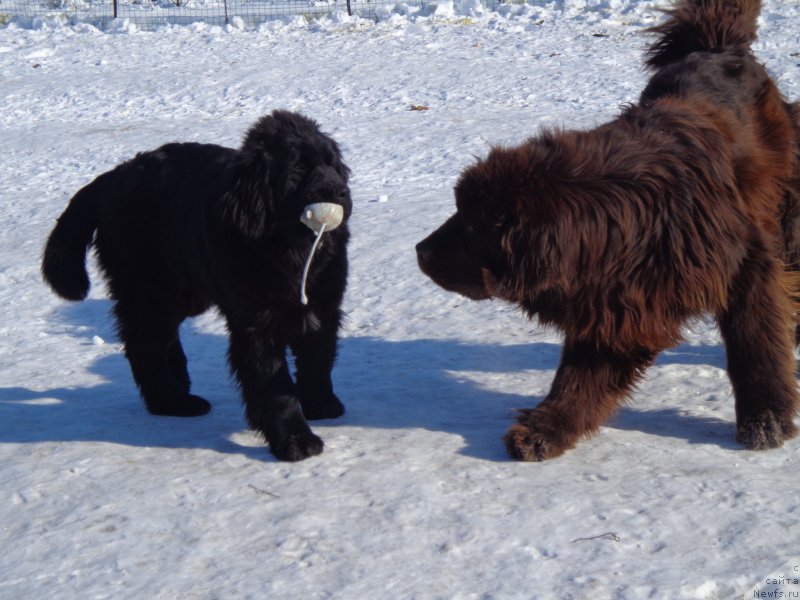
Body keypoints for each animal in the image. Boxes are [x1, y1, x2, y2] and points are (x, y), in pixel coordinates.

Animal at [42, 110, 352, 462]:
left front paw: (321, 404)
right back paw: (171, 401)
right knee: (143, 345)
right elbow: (275, 387)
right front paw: (295, 440)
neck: (289, 249)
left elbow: (318, 360)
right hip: (150, 290)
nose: (341, 191)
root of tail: (111, 177)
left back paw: (179, 381)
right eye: (298, 170)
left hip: (180, 293)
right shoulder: (256, 324)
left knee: (162, 336)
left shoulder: (324, 306)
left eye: (332, 164)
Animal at [416, 0, 800, 462]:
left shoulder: (747, 271)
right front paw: (548, 427)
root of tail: (716, 46)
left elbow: (756, 349)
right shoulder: (620, 302)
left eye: (472, 225)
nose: (419, 250)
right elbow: (580, 376)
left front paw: (765, 419)